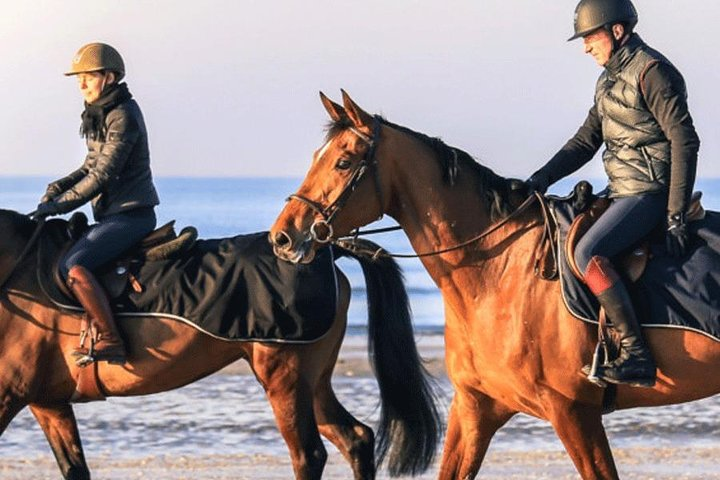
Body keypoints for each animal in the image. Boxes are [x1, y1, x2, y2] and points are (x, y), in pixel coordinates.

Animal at [0, 209, 438, 480]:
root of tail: (326, 252)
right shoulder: (47, 402)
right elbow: (75, 468)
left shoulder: (10, 396)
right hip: (313, 382)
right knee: (357, 439)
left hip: (285, 379)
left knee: (309, 455)